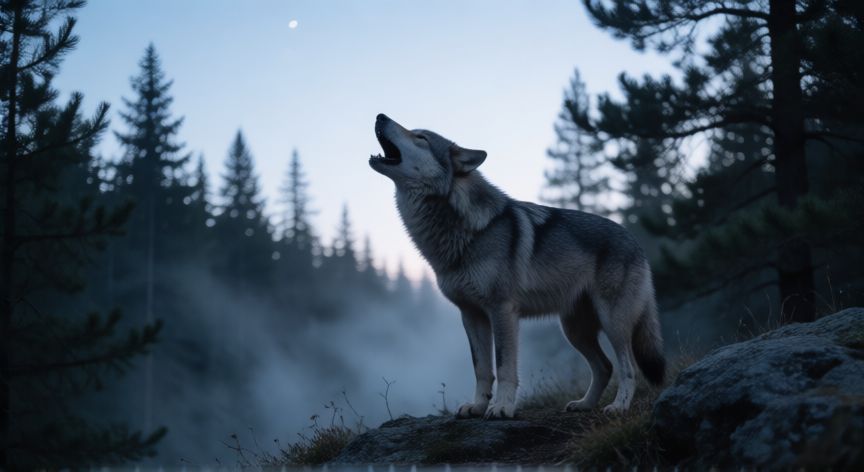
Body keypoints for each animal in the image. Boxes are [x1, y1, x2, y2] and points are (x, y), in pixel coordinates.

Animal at [369, 114, 665, 419]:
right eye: (415, 132)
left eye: (421, 138)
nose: (380, 116)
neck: (463, 230)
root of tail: (634, 240)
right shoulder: (471, 314)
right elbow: (481, 369)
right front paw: (477, 406)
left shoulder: (502, 310)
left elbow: (504, 367)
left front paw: (501, 407)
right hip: (574, 330)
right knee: (604, 367)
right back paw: (584, 404)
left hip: (612, 322)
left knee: (628, 368)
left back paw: (618, 407)